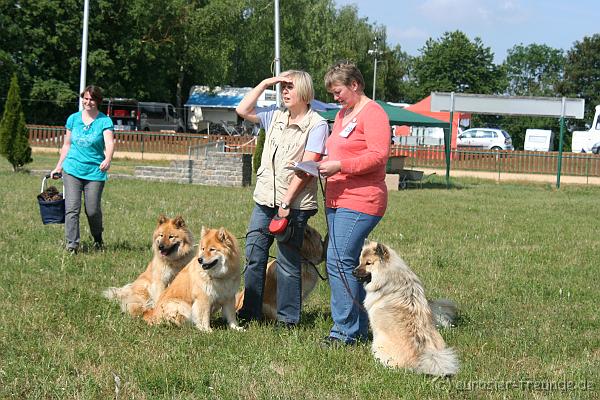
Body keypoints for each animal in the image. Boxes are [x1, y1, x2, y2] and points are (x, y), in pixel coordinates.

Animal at [352, 242, 460, 376]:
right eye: (360, 261)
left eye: (368, 263)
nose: (353, 272)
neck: (389, 276)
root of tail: (422, 355)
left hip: (380, 344)